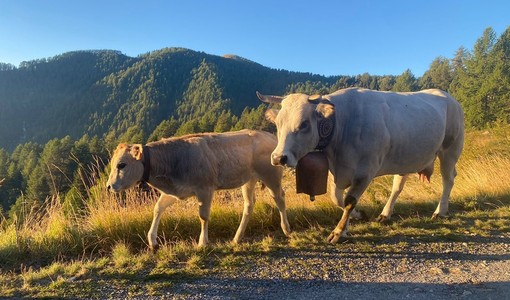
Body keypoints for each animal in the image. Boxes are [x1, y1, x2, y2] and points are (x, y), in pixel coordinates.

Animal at [106, 129, 290, 248]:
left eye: (121, 165)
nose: (108, 186)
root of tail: (269, 135)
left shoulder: (205, 189)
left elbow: (203, 216)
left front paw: (202, 242)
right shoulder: (176, 191)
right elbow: (158, 208)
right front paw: (152, 240)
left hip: (271, 175)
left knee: (279, 197)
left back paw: (286, 229)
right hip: (249, 179)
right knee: (249, 204)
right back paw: (237, 237)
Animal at [258, 86, 462, 244]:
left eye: (304, 124)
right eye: (278, 123)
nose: (278, 158)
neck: (342, 124)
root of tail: (448, 96)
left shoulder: (366, 171)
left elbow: (349, 200)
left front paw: (338, 232)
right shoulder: (339, 171)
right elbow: (337, 198)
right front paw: (355, 219)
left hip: (450, 149)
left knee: (448, 179)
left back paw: (440, 211)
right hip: (406, 155)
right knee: (398, 185)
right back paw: (385, 214)